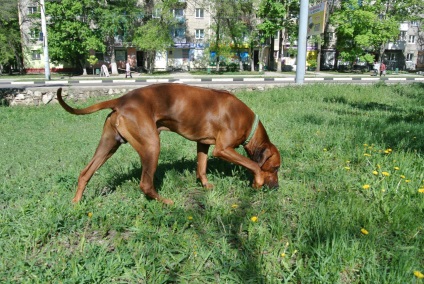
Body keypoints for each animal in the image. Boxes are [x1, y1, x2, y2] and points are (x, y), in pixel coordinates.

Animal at [57, 83, 282, 205]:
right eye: (276, 167)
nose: (277, 188)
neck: (250, 123)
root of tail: (121, 99)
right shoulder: (223, 149)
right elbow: (253, 165)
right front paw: (257, 182)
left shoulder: (203, 144)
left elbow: (201, 167)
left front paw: (206, 185)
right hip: (151, 144)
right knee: (145, 184)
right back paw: (165, 202)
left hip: (109, 144)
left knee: (85, 173)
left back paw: (76, 202)